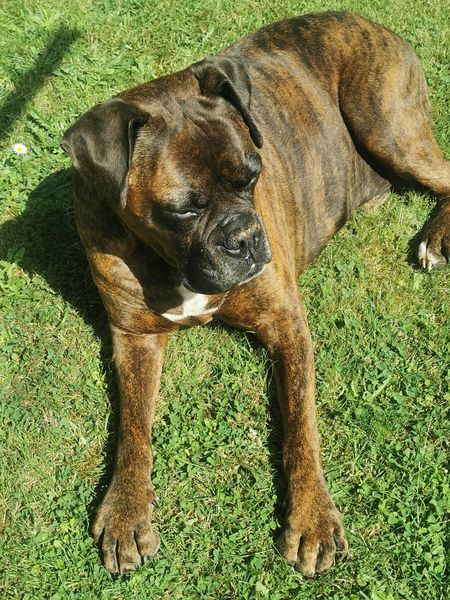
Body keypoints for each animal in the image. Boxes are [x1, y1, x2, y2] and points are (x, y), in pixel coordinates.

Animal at [61, 11, 449, 577]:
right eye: (183, 209)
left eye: (252, 176)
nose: (245, 237)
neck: (172, 261)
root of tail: (369, 20)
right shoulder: (133, 337)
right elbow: (133, 429)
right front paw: (126, 508)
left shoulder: (286, 325)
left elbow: (301, 426)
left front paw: (311, 516)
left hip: (385, 124)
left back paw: (435, 239)